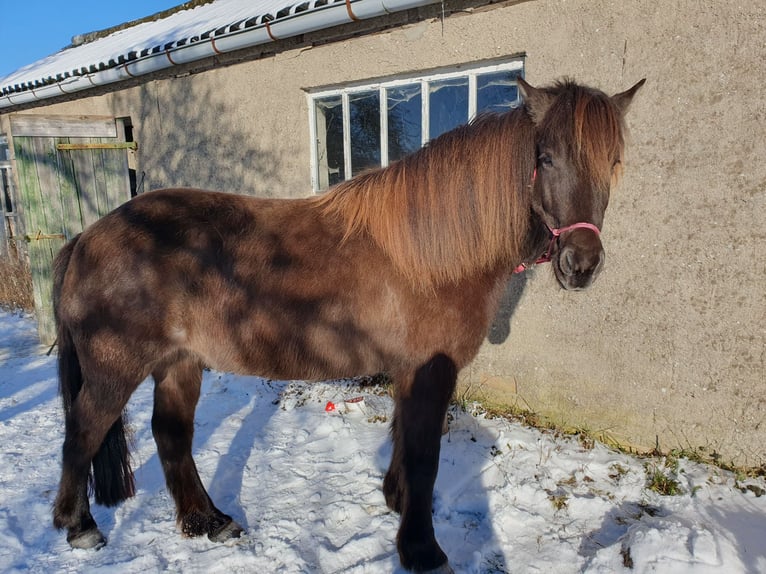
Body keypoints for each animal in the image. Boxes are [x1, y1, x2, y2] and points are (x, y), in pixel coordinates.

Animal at [51, 76, 644, 573]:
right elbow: (425, 456)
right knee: (82, 432)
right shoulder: (430, 370)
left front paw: (397, 504)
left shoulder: (410, 372)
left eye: (613, 162)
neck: (432, 253)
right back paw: (79, 527)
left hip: (179, 364)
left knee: (171, 435)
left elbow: (406, 443)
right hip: (115, 369)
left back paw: (208, 522)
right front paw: (422, 550)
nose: (581, 264)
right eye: (546, 157)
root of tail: (87, 237)